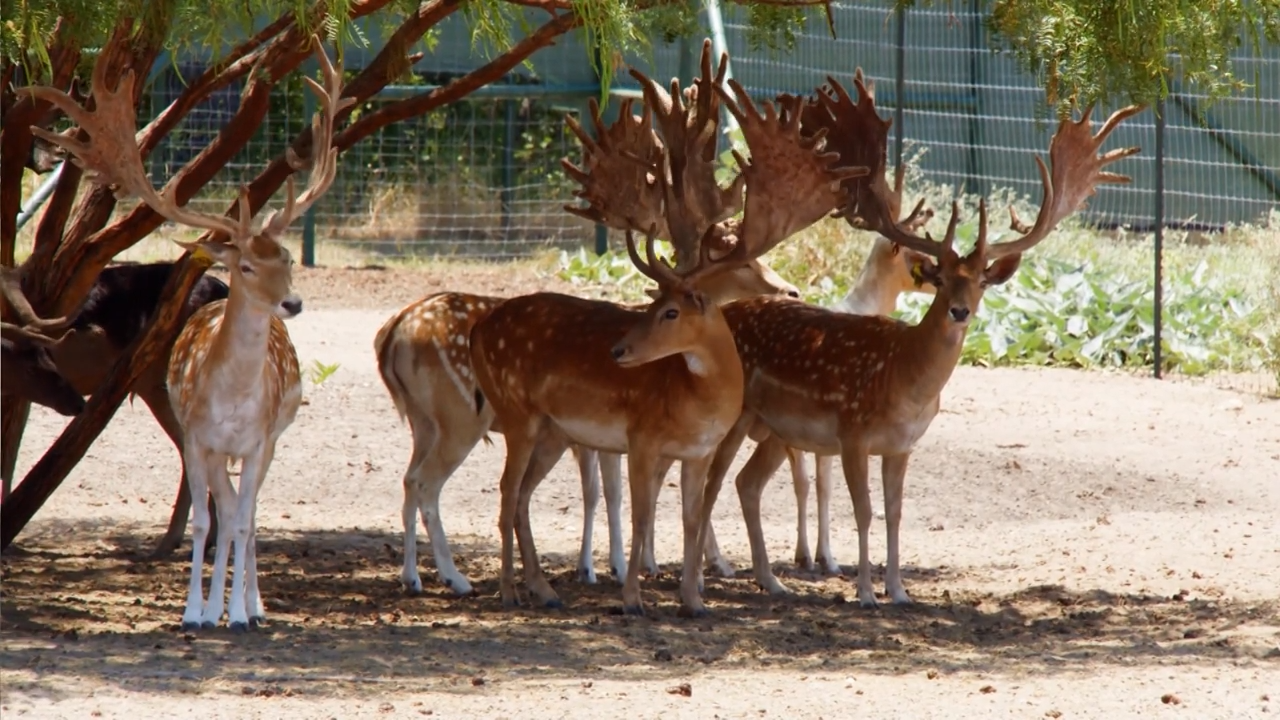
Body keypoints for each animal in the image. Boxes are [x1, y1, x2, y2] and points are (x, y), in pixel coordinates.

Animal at [27, 34, 352, 630]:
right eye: (245, 264)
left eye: (288, 256)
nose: (292, 301)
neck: (233, 400)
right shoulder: (201, 437)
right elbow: (208, 519)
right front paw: (195, 612)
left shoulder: (257, 440)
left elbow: (244, 519)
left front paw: (240, 611)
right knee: (223, 507)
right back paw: (218, 602)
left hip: (270, 439)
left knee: (248, 512)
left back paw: (251, 604)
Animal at [468, 41, 866, 617]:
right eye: (657, 304)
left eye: (670, 310)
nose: (618, 351)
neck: (693, 400)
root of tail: (478, 330)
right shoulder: (641, 439)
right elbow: (641, 515)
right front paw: (633, 596)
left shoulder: (694, 453)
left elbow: (692, 516)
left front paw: (693, 599)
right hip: (516, 412)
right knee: (504, 492)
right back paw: (506, 590)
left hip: (552, 430)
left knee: (520, 495)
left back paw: (544, 589)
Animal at [697, 70, 1141, 606]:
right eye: (941, 277)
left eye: (981, 281)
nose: (959, 310)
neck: (904, 380)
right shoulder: (852, 432)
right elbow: (863, 511)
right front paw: (865, 592)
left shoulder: (902, 445)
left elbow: (896, 513)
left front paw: (899, 590)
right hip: (737, 414)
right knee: (710, 482)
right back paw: (704, 579)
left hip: (775, 429)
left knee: (746, 484)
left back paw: (771, 581)